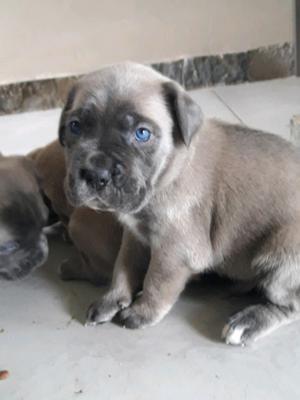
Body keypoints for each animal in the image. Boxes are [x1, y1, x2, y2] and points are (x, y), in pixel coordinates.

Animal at [59, 61, 300, 346]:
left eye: (142, 133)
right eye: (75, 126)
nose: (97, 174)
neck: (168, 172)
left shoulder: (174, 248)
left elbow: (156, 280)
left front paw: (142, 312)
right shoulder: (135, 235)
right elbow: (123, 268)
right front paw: (113, 299)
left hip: (282, 248)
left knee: (290, 305)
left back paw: (246, 322)